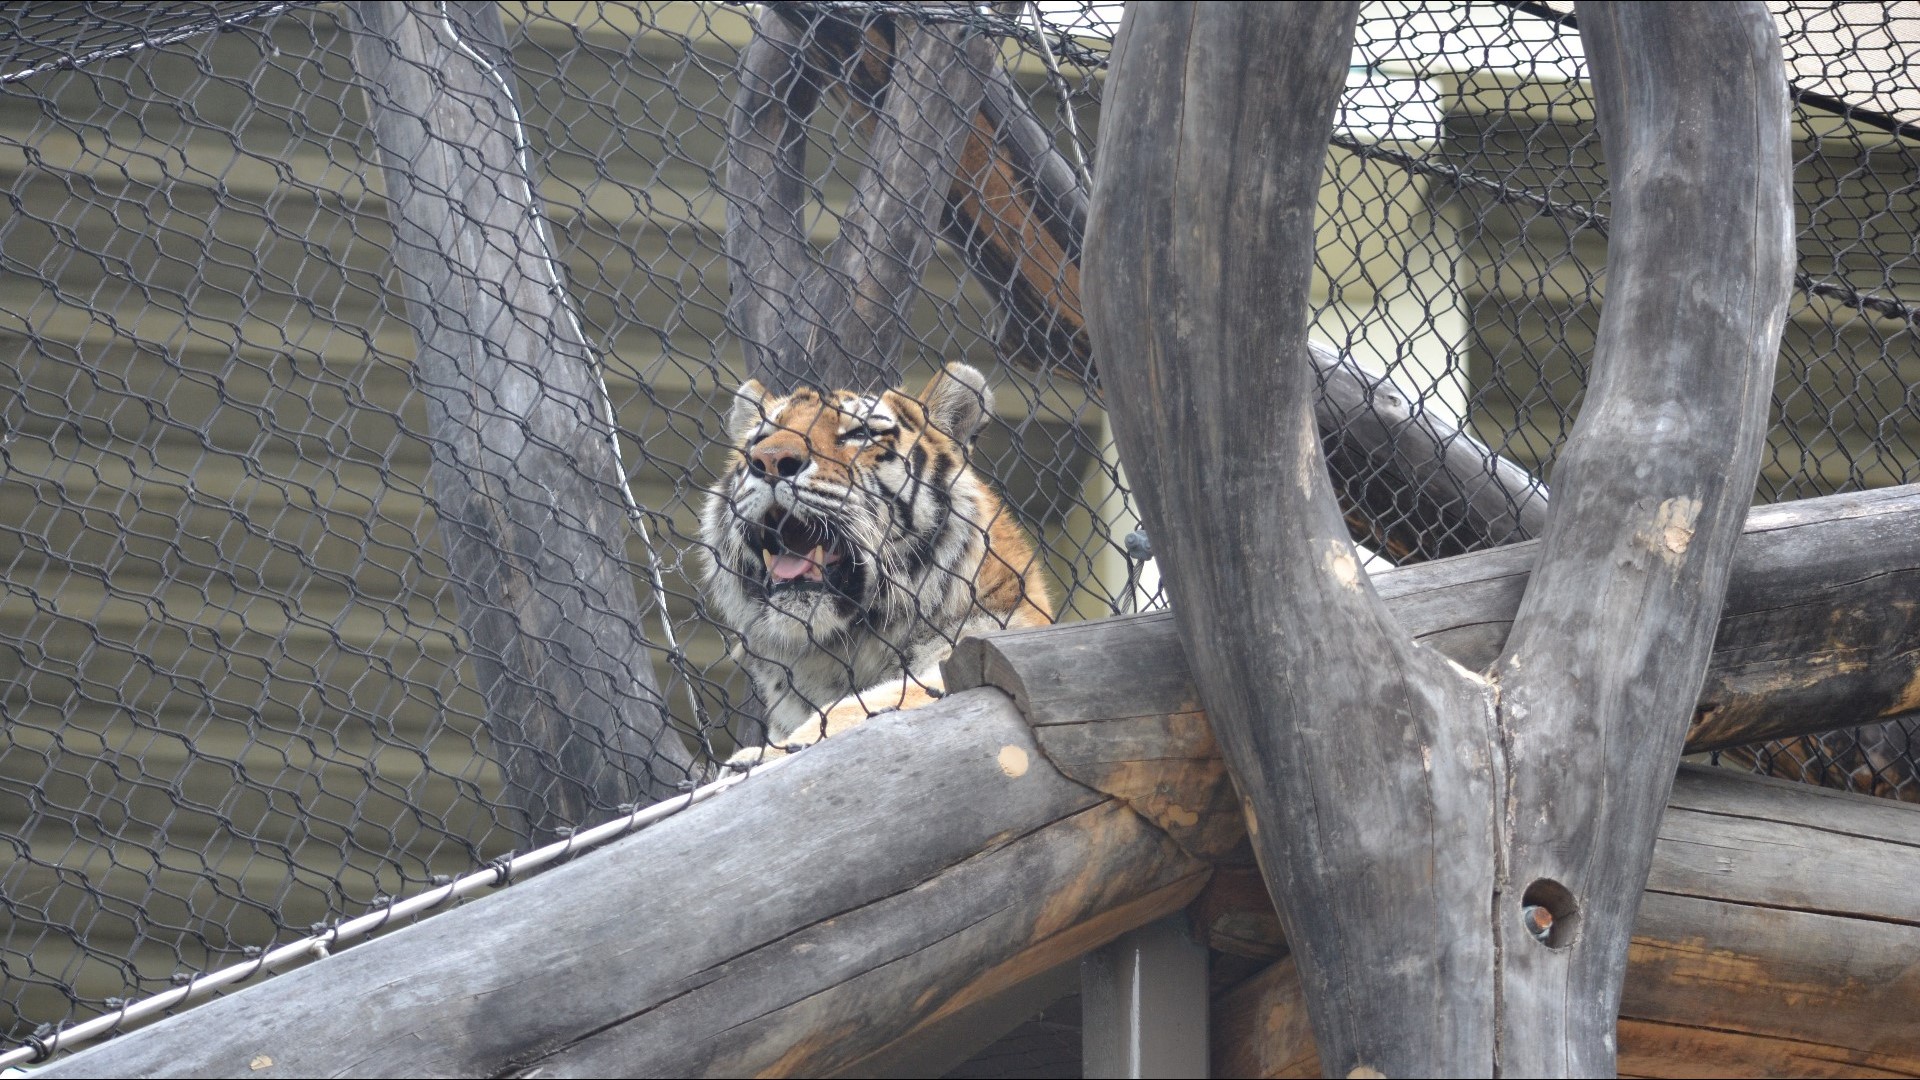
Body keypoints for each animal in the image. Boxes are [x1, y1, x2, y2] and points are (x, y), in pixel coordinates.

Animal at [698, 357, 1052, 760]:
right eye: (758, 441)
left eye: (860, 433)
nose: (770, 460)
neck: (835, 655)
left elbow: (869, 704)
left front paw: (762, 756)